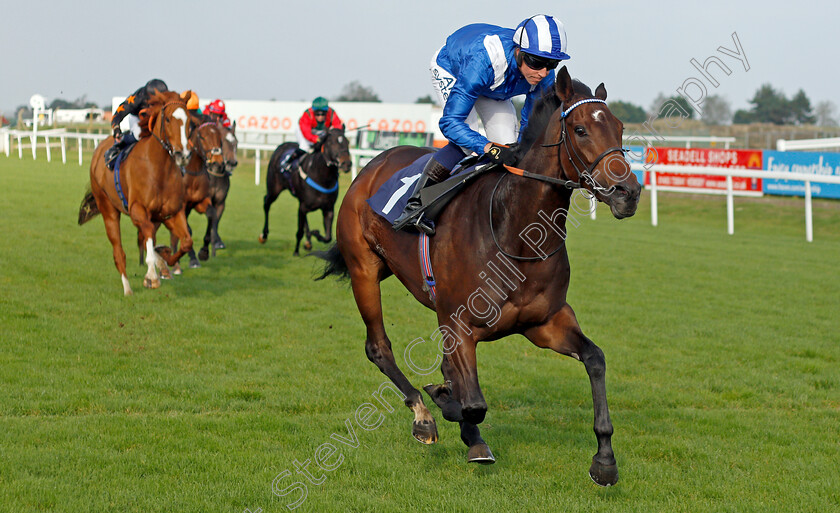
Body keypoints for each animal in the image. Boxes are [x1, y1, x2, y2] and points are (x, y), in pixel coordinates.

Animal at [77, 90, 197, 294]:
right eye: (167, 119)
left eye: (188, 120)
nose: (183, 155)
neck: (159, 169)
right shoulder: (137, 210)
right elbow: (146, 233)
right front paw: (152, 276)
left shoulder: (172, 213)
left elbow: (187, 242)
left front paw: (166, 262)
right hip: (108, 209)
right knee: (119, 252)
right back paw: (127, 289)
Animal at [260, 127, 352, 255]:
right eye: (331, 143)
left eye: (347, 142)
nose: (346, 163)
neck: (322, 178)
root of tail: (283, 145)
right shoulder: (304, 206)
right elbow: (299, 231)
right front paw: (296, 251)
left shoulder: (328, 209)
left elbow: (328, 237)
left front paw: (315, 234)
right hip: (274, 189)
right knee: (266, 203)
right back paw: (264, 235)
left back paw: (308, 239)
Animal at [318, 67, 640, 484]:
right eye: (581, 129)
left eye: (619, 128)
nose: (628, 191)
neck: (514, 233)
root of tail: (372, 166)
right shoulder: (459, 325)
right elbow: (472, 403)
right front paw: (444, 403)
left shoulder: (544, 322)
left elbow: (595, 358)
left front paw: (604, 458)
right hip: (364, 269)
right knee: (378, 347)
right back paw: (424, 414)